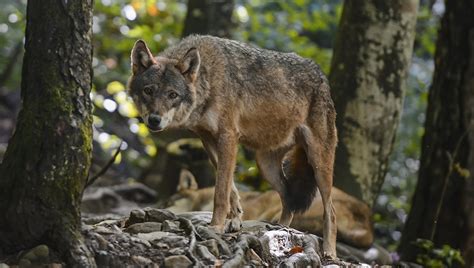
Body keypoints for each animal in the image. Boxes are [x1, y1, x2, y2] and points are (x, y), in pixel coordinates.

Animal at [128, 35, 338, 258]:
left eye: (172, 95)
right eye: (148, 90)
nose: (154, 120)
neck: (208, 78)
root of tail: (321, 75)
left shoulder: (228, 137)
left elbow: (220, 191)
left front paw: (216, 226)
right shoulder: (208, 140)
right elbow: (231, 189)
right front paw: (234, 220)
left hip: (319, 164)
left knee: (330, 212)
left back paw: (329, 252)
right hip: (265, 165)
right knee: (288, 200)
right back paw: (278, 230)